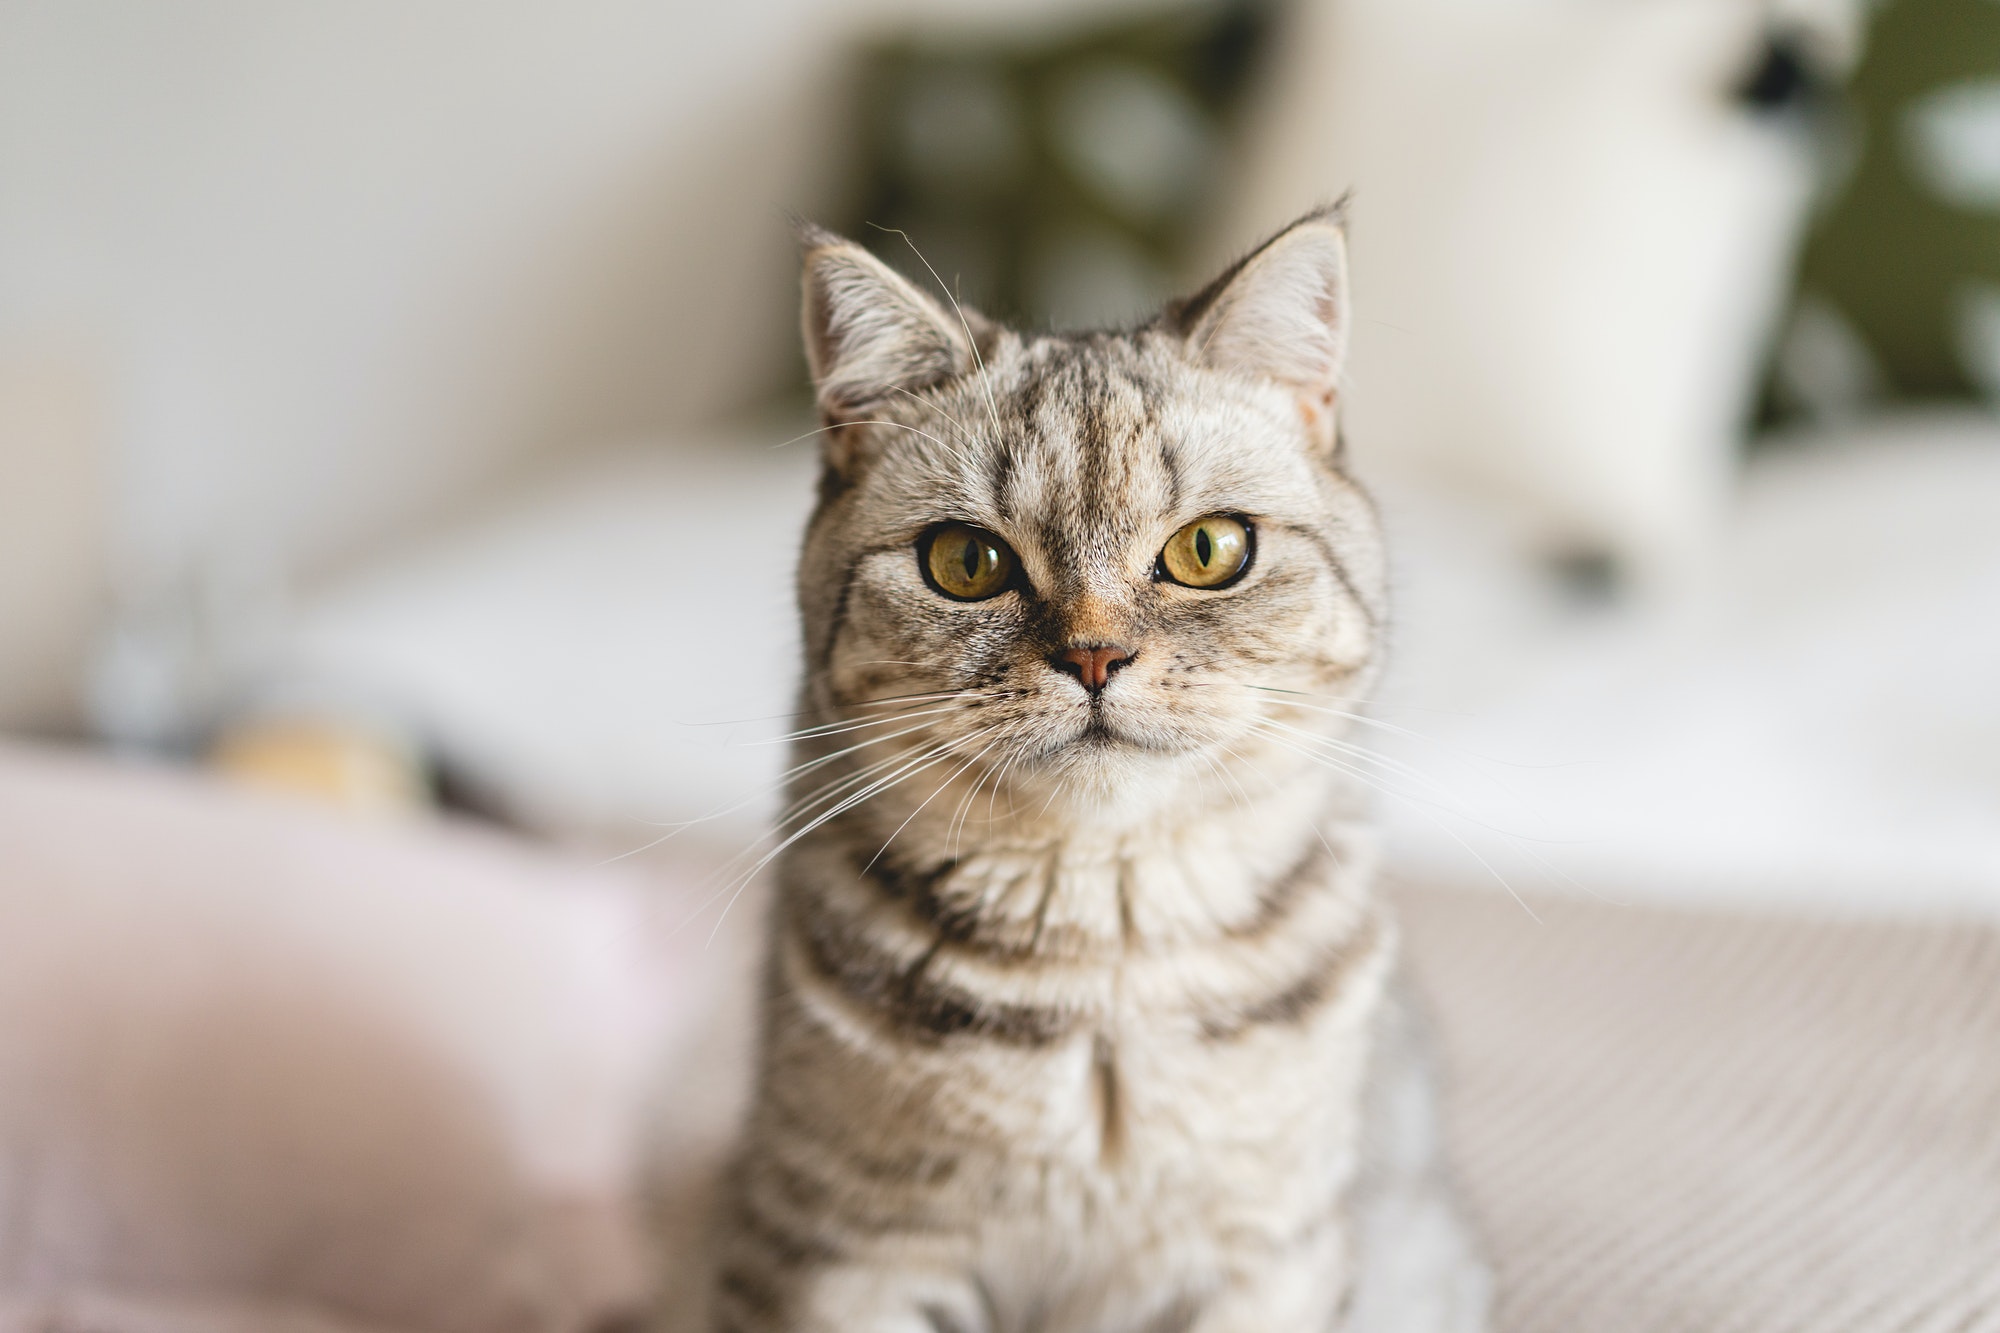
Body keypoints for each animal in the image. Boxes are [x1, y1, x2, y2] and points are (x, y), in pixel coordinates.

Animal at [704, 202, 1488, 1320]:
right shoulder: (852, 1257)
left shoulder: (1265, 1263)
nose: (1093, 655)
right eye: (964, 561)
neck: (1104, 955)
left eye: (1210, 549)